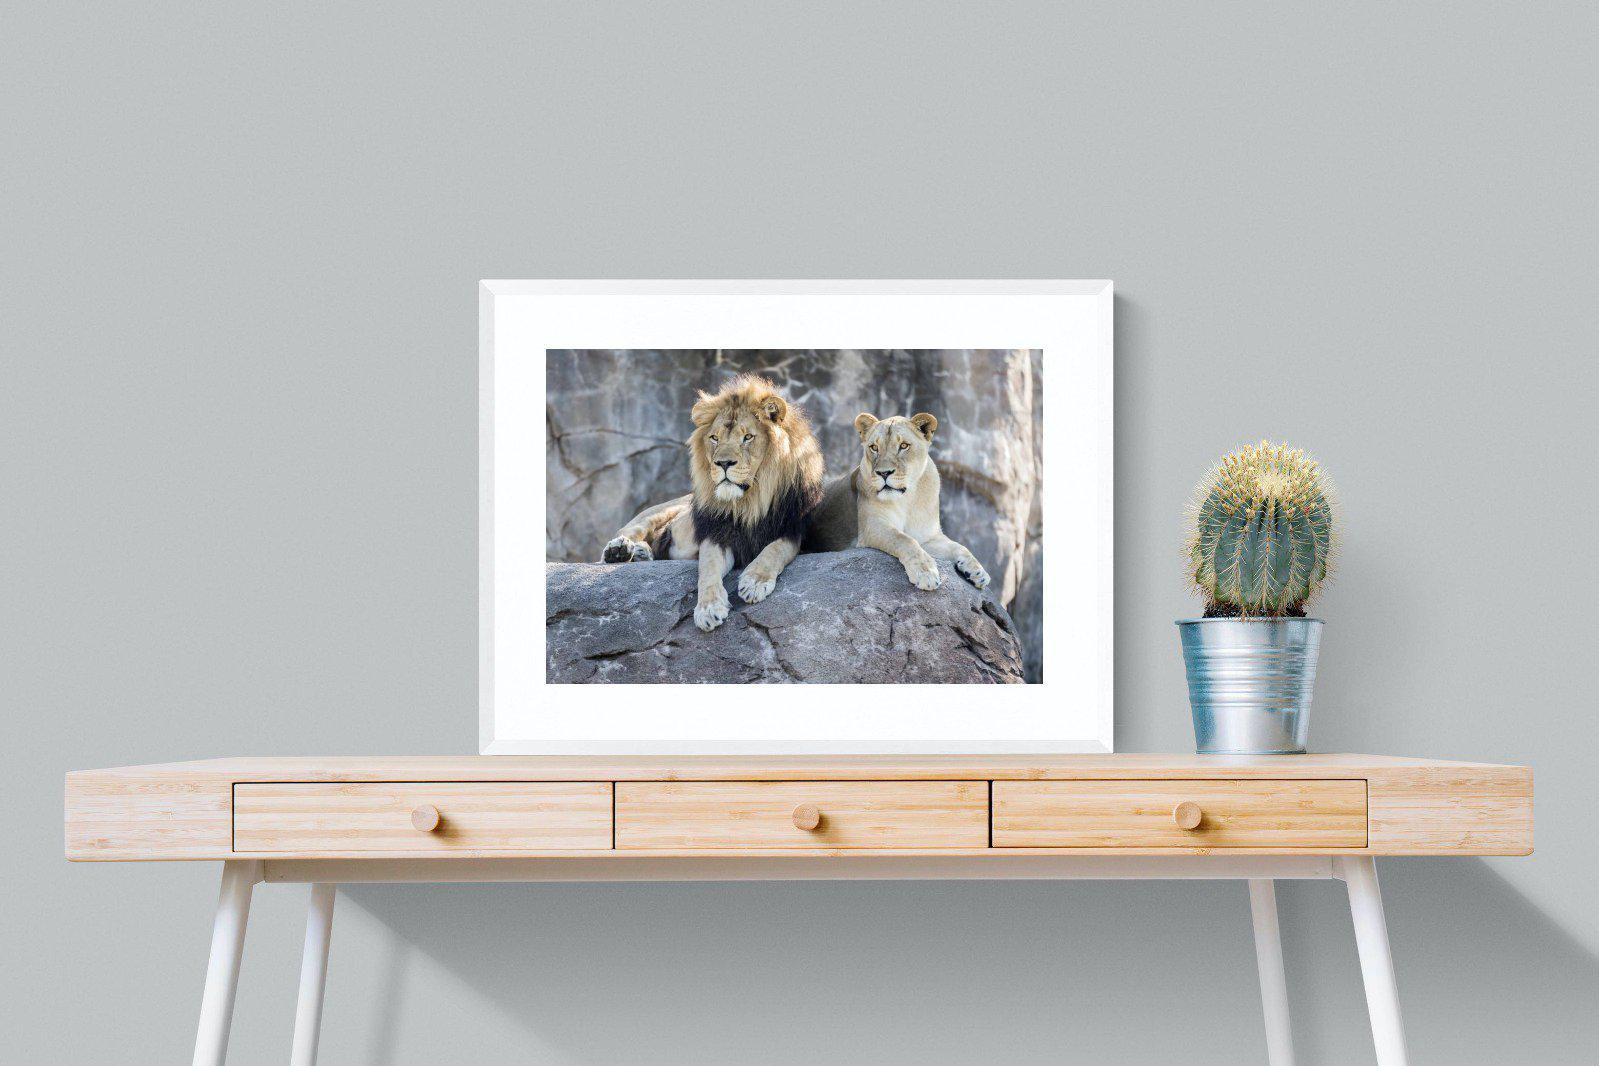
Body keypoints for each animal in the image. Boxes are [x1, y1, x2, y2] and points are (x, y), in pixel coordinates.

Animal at [601, 375, 825, 631]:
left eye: (747, 437)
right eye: (714, 438)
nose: (723, 463)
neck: (749, 503)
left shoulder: (793, 530)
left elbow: (774, 550)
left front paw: (754, 582)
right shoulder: (716, 533)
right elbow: (707, 569)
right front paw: (708, 609)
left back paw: (640, 553)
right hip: (662, 510)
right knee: (630, 530)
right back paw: (619, 551)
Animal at [803, 411, 991, 592]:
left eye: (904, 446)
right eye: (874, 447)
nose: (884, 473)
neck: (908, 499)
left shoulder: (928, 537)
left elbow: (959, 547)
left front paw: (978, 572)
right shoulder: (872, 527)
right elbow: (904, 540)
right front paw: (926, 573)